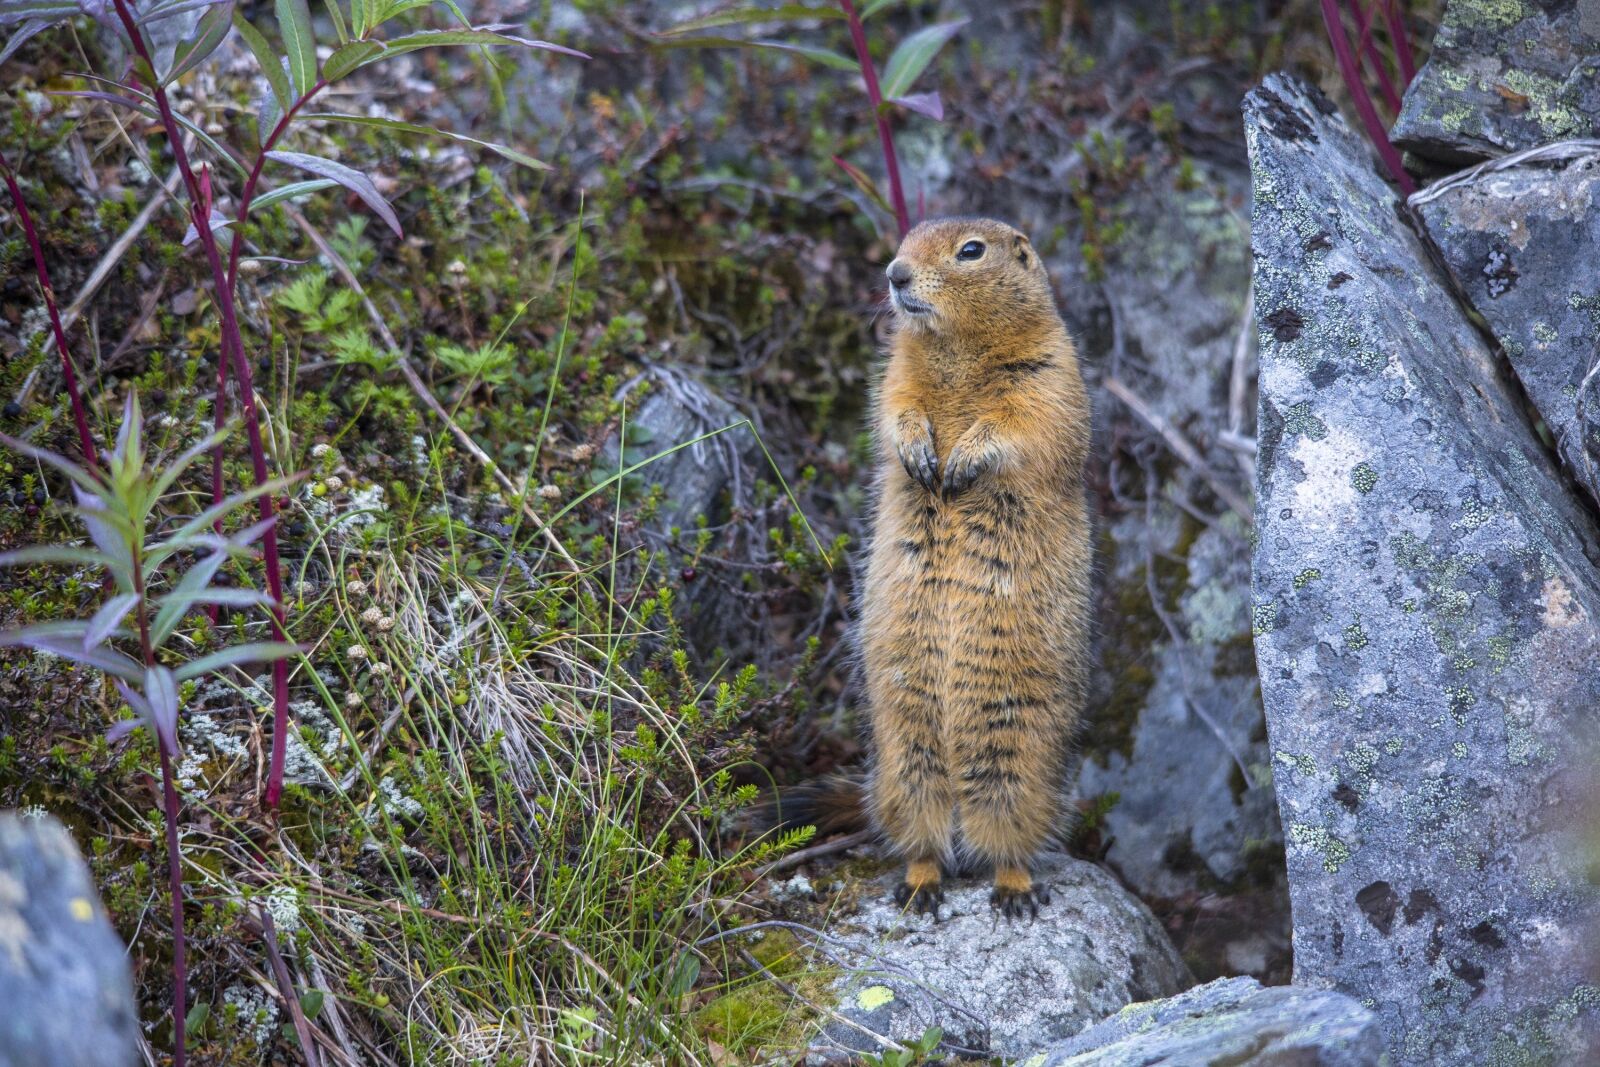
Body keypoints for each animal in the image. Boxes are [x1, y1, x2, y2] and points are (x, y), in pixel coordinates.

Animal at [777, 217, 1093, 919]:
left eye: (971, 251)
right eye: (906, 238)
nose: (895, 274)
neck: (955, 347)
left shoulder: (1050, 372)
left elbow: (1023, 422)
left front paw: (963, 460)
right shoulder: (897, 371)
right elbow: (895, 405)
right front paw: (920, 453)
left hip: (1018, 766)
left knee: (1009, 838)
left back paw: (1012, 888)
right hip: (904, 763)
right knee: (922, 836)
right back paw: (919, 885)